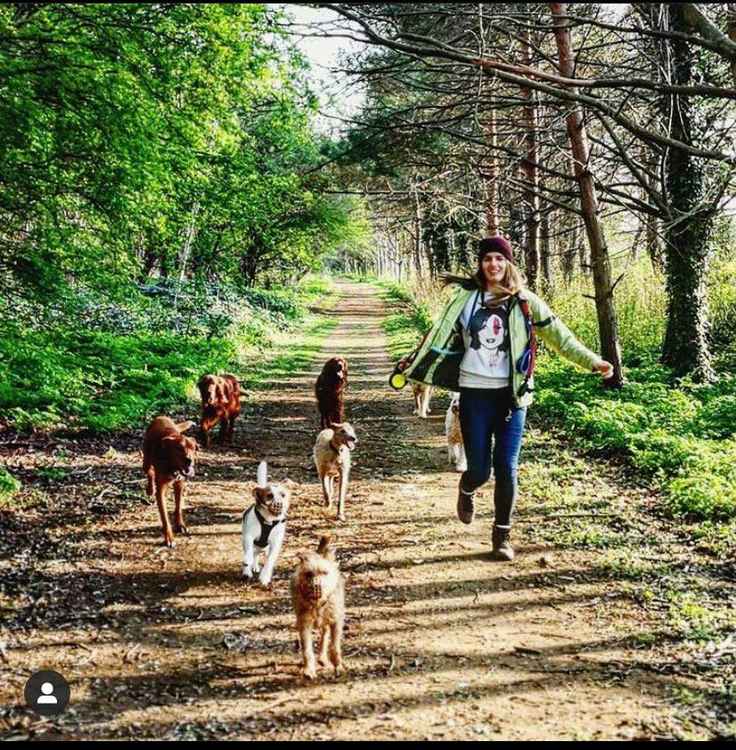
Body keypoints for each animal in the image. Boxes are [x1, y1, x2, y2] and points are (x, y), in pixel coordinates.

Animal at [142, 418, 197, 548]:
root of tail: (160, 417)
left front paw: (180, 525)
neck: (173, 466)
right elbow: (165, 518)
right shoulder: (161, 492)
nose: (189, 460)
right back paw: (150, 489)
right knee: (150, 472)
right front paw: (169, 538)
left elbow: (178, 507)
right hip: (146, 462)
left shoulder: (180, 485)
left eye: (193, 448)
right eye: (179, 448)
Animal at [242, 462, 288, 592]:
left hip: (264, 547)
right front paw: (248, 563)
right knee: (252, 552)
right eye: (269, 496)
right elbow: (248, 552)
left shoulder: (275, 544)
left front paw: (264, 577)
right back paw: (247, 570)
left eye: (283, 495)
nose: (279, 504)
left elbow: (269, 561)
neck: (268, 521)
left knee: (258, 554)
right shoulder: (249, 536)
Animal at [290, 536, 344, 680]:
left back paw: (323, 657)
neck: (317, 605)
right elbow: (307, 649)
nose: (316, 586)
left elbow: (334, 646)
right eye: (309, 573)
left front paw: (338, 665)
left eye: (324, 572)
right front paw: (309, 669)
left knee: (325, 634)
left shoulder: (336, 621)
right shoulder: (304, 623)